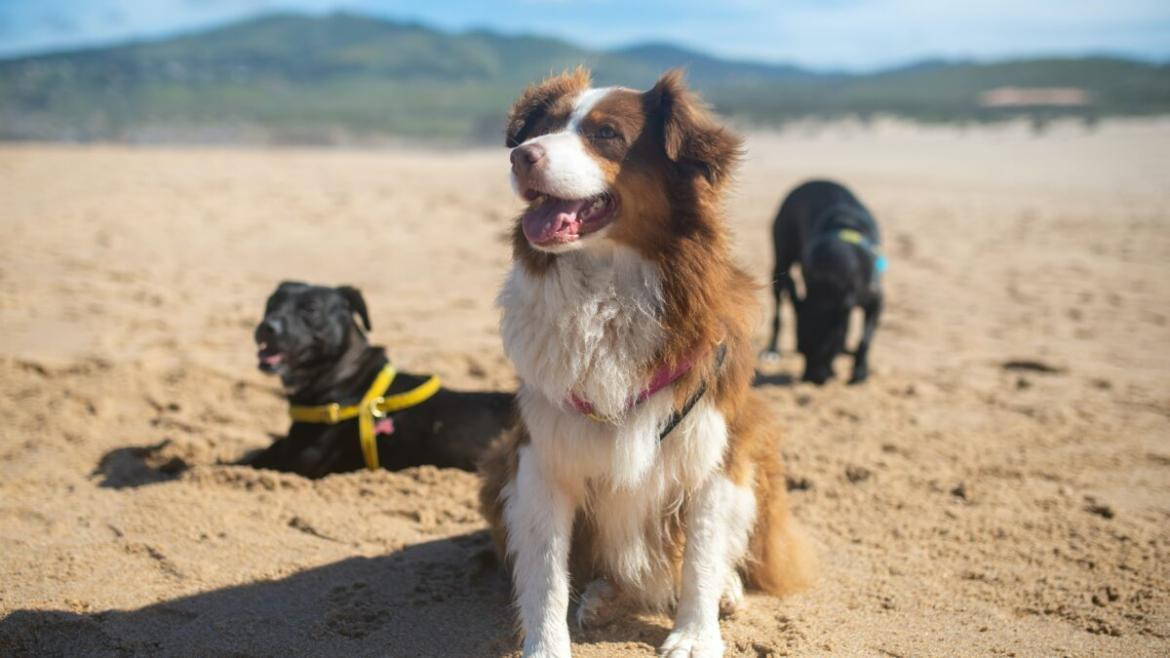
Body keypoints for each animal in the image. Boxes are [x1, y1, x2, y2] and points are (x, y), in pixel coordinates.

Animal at [475, 69, 814, 650]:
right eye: (541, 129)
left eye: (606, 135)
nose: (521, 156)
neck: (608, 288)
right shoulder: (541, 454)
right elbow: (545, 572)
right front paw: (546, 646)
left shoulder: (713, 448)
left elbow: (700, 554)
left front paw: (696, 636)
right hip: (498, 463)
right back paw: (605, 596)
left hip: (758, 450)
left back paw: (724, 591)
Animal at [762, 179, 879, 384]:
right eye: (801, 350)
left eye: (827, 352)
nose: (811, 380)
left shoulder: (875, 301)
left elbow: (864, 339)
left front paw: (860, 372)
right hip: (780, 262)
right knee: (778, 313)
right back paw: (772, 350)